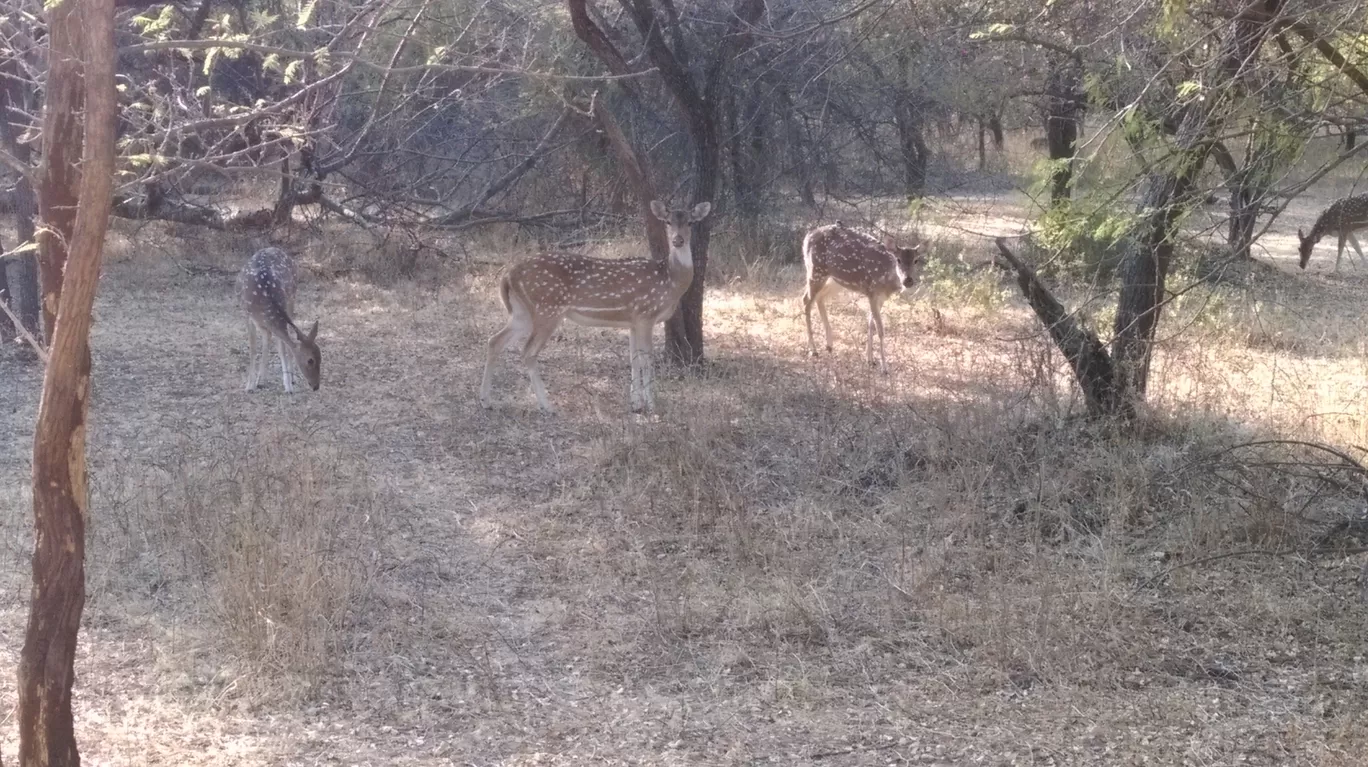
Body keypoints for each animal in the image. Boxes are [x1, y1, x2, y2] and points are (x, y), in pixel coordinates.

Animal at [238, 246, 320, 391]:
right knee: (268, 337)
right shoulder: (247, 314)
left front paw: (288, 386)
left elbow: (281, 348)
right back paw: (261, 380)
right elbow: (253, 349)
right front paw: (249, 385)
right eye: (310, 360)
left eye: (321, 357)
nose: (316, 386)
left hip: (292, 296)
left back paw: (287, 378)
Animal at [478, 196, 711, 412]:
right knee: (527, 351)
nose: (678, 240)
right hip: (547, 308)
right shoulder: (646, 313)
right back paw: (546, 405)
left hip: (522, 312)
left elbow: (634, 359)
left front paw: (635, 403)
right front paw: (651, 405)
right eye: (668, 222)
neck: (670, 280)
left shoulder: (633, 320)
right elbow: (647, 359)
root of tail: (508, 274)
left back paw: (487, 401)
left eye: (691, 222)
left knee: (494, 340)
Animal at [798, 220, 924, 371]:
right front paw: (884, 367)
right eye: (898, 259)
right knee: (806, 300)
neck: (886, 279)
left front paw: (870, 360)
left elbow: (870, 324)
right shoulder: (871, 291)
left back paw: (829, 345)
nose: (908, 280)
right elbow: (880, 329)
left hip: (836, 279)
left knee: (819, 298)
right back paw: (813, 350)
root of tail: (807, 237)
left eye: (916, 260)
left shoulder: (881, 297)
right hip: (815, 270)